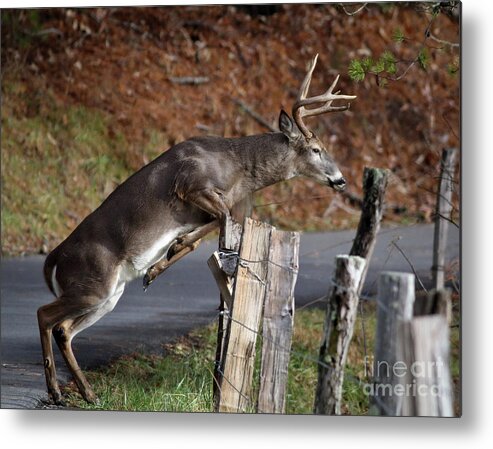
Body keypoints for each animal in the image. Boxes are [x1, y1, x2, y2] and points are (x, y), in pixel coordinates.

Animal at [37, 54, 354, 404]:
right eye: (316, 149)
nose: (341, 180)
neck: (238, 169)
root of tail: (53, 259)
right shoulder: (192, 185)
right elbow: (223, 217)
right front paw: (166, 255)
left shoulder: (206, 205)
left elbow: (214, 226)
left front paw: (160, 262)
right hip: (92, 285)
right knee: (45, 315)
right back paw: (57, 392)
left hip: (108, 295)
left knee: (64, 329)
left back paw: (87, 394)